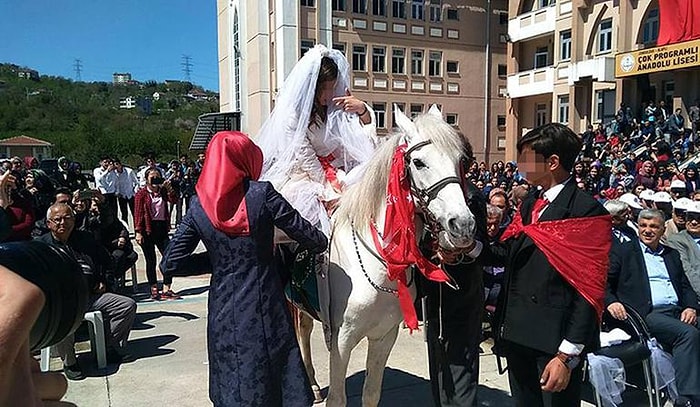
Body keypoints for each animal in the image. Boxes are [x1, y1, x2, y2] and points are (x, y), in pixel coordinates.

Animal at [310, 107, 476, 406]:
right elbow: (338, 398)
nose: (463, 225)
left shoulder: (385, 335)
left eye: (462, 160)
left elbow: (371, 393)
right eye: (419, 163)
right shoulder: (341, 340)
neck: (382, 263)